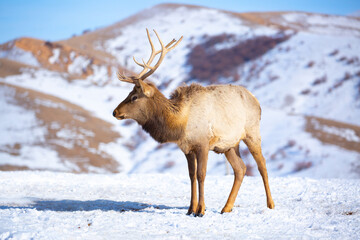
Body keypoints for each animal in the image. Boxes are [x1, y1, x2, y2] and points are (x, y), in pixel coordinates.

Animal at [114, 29, 274, 217]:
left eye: (134, 97)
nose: (115, 112)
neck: (179, 123)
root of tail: (256, 100)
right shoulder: (187, 148)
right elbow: (191, 175)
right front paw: (191, 209)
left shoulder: (203, 144)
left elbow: (201, 174)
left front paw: (201, 210)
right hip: (229, 145)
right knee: (240, 168)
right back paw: (226, 207)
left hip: (252, 132)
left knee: (262, 164)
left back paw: (270, 204)